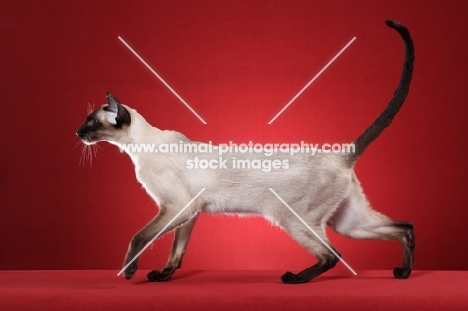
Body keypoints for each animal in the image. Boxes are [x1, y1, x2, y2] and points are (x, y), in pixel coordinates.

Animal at [77, 20, 416, 286]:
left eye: (91, 122)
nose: (78, 133)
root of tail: (341, 155)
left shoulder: (177, 207)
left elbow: (139, 237)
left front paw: (129, 271)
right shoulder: (188, 212)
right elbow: (176, 251)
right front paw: (162, 276)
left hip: (293, 219)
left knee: (333, 254)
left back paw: (294, 278)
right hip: (350, 223)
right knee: (405, 228)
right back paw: (403, 273)